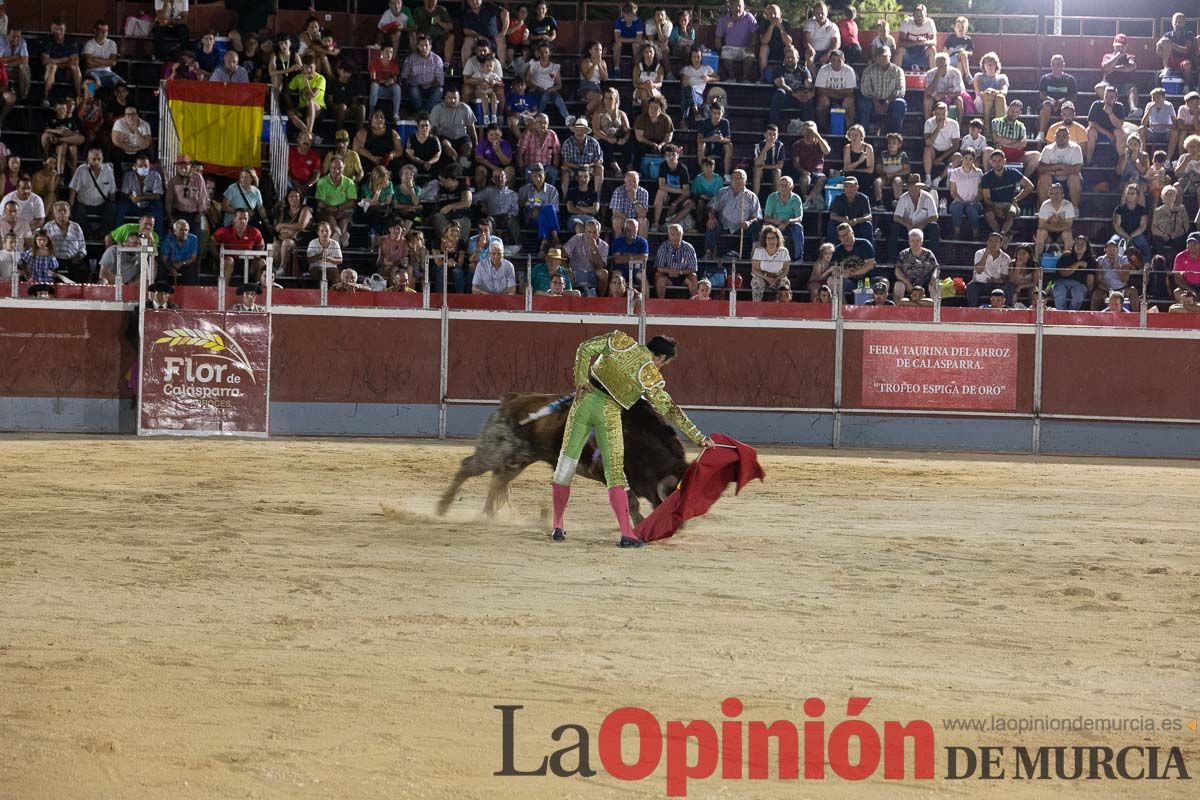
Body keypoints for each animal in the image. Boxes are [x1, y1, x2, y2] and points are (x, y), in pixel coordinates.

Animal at [439, 393, 686, 520]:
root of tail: (509, 402)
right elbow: (630, 501)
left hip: (518, 460)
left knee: (498, 480)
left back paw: (488, 515)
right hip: (495, 451)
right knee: (467, 468)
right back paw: (442, 507)